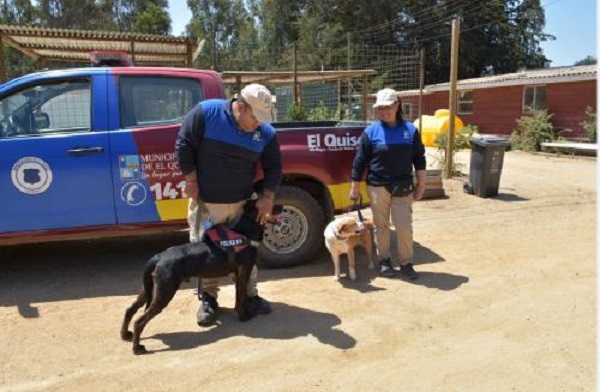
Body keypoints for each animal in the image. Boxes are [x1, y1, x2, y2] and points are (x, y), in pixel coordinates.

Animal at [119, 202, 270, 356]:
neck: (244, 230)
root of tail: (159, 256)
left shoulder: (241, 272)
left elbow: (242, 294)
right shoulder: (244, 271)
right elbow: (241, 296)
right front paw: (243, 316)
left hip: (150, 289)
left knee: (130, 309)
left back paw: (125, 334)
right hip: (164, 291)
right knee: (139, 321)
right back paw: (137, 348)